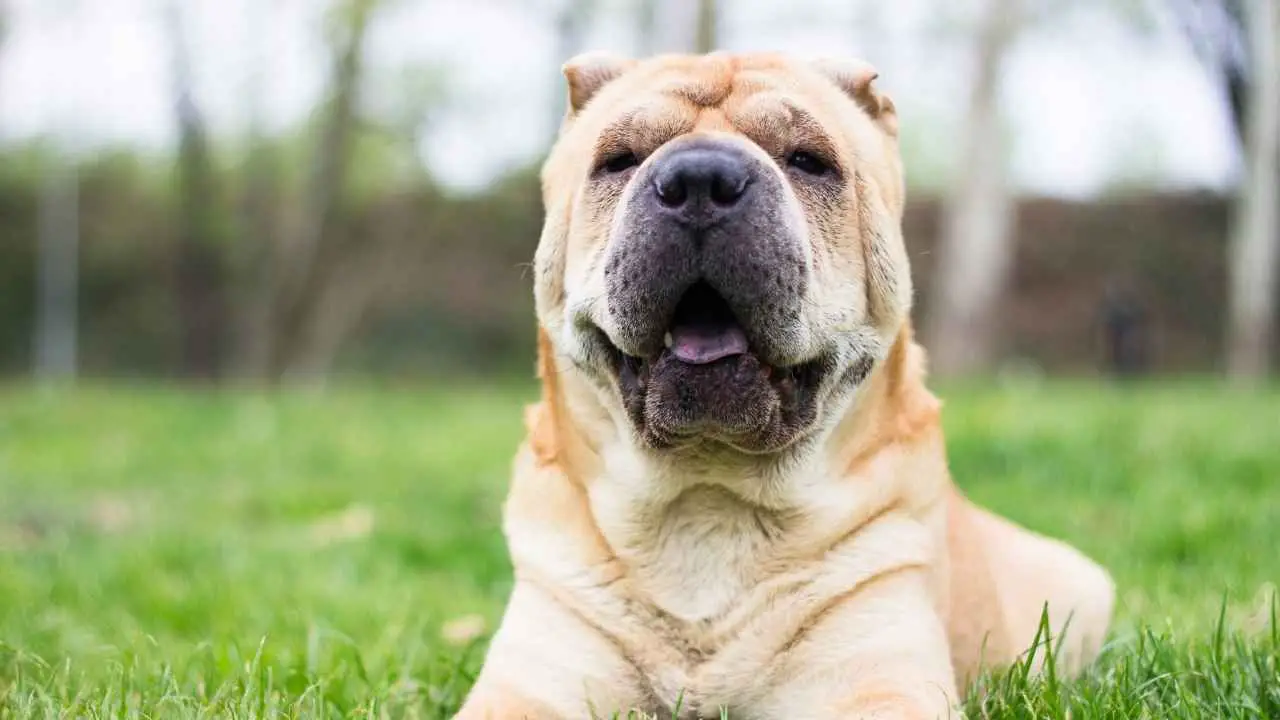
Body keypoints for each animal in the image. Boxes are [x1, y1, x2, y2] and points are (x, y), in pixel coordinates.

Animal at [455, 51, 1116, 717]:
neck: (707, 501)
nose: (699, 180)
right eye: (618, 161)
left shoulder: (881, 676)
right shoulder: (532, 682)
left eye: (807, 160)